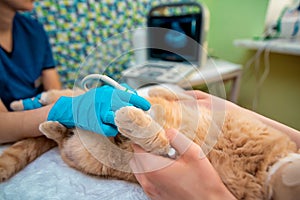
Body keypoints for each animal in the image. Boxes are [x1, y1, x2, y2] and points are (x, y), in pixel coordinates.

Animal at [0, 86, 300, 200]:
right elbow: (160, 103)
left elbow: (158, 140)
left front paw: (129, 121)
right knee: (66, 96)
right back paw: (27, 102)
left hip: (83, 155)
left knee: (64, 136)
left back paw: (51, 122)